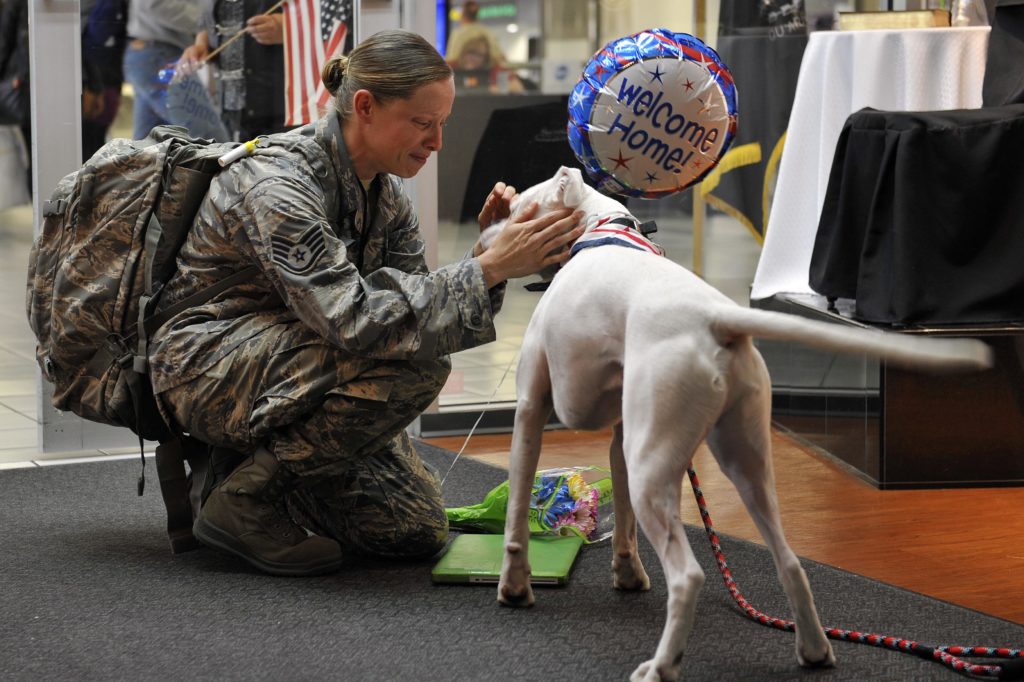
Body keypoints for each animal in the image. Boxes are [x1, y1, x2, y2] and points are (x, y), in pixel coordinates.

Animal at [487, 165, 991, 679]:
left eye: (517, 207)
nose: (490, 234)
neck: (601, 228)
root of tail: (716, 318)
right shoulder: (622, 435)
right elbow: (623, 518)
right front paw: (627, 573)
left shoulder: (530, 407)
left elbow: (518, 510)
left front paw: (514, 586)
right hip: (742, 461)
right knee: (789, 562)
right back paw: (813, 649)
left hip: (654, 470)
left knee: (688, 576)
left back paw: (661, 666)